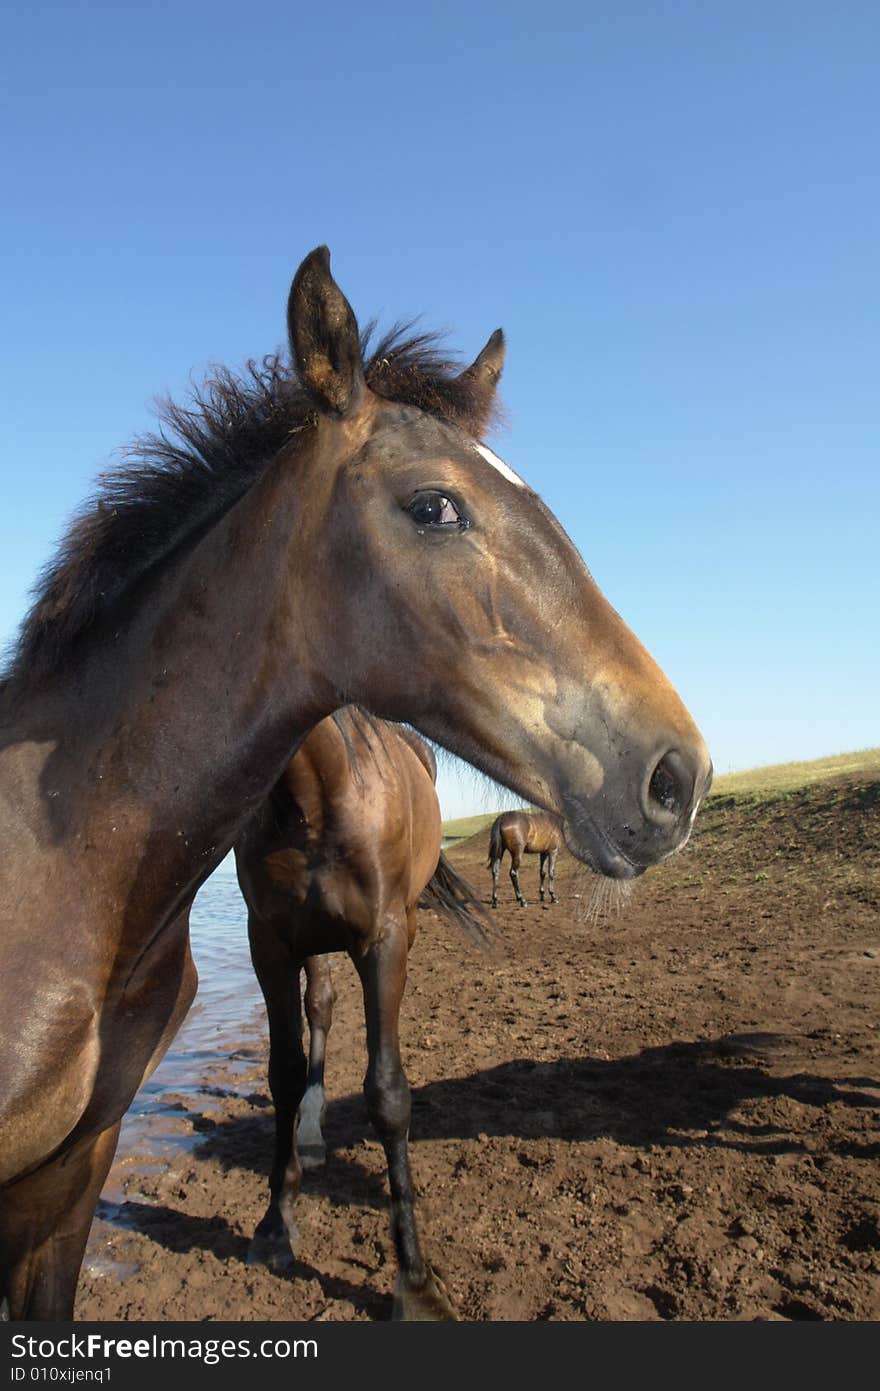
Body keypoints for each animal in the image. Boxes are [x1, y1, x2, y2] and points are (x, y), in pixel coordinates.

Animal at [233, 706, 481, 1313]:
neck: (316, 798)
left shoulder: (382, 941)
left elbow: (387, 1091)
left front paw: (416, 1281)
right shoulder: (269, 942)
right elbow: (284, 1073)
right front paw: (275, 1225)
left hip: (404, 922)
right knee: (319, 1006)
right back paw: (310, 1131)